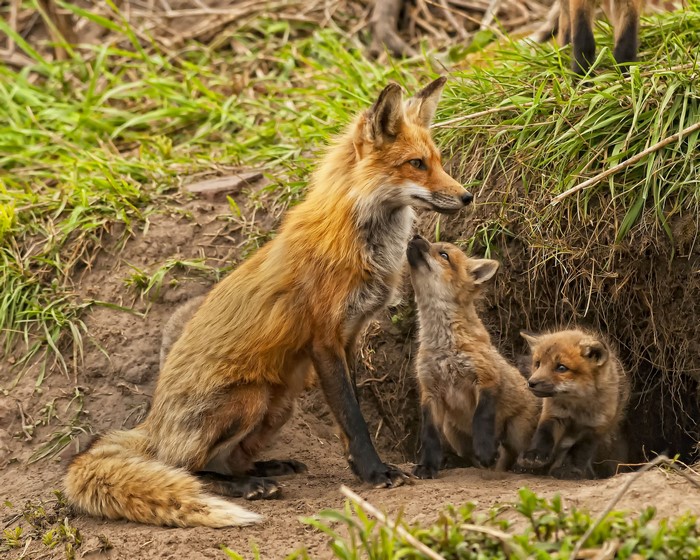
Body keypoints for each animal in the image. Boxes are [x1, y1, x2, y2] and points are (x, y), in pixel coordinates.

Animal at [64, 77, 474, 528]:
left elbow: (350, 416)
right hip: (250, 399)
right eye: (417, 163)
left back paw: (264, 468)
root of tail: (152, 425)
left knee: (224, 460)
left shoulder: (349, 337)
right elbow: (354, 418)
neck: (358, 238)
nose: (467, 196)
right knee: (187, 468)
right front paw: (375, 472)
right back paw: (246, 486)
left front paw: (360, 469)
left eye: (438, 161)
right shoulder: (323, 340)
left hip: (279, 405)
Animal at [407, 237, 540, 478]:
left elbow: (481, 419)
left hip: (516, 430)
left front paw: (486, 451)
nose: (415, 237)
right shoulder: (429, 391)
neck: (444, 346)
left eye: (444, 255)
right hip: (452, 430)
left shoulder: (485, 378)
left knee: (514, 455)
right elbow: (429, 436)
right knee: (470, 458)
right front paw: (428, 466)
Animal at [517, 328, 631, 479]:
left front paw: (569, 469)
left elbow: (580, 450)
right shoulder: (553, 414)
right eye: (538, 363)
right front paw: (533, 455)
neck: (577, 406)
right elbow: (543, 435)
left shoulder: (597, 426)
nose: (531, 383)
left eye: (561, 368)